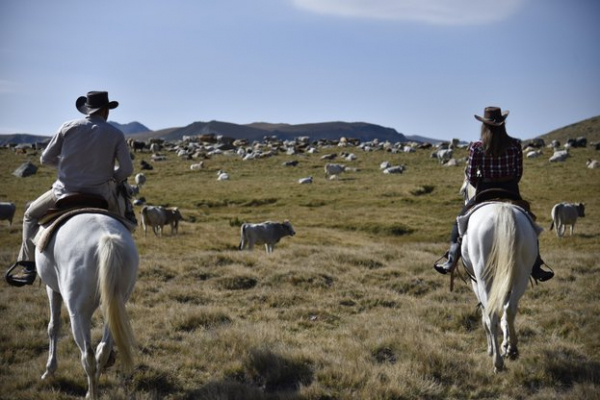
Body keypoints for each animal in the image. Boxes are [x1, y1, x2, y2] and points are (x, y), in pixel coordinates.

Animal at [37, 211, 139, 398]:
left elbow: (53, 326)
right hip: (114, 306)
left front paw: (49, 370)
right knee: (103, 349)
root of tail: (106, 238)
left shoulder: (52, 288)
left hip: (79, 314)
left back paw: (91, 394)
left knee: (88, 355)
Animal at [460, 177, 540, 374]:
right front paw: (506, 345)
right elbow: (504, 310)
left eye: (464, 191)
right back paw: (512, 349)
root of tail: (504, 212)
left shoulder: (475, 283)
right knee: (510, 309)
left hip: (484, 278)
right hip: (521, 275)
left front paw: (492, 348)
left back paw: (497, 361)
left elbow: (485, 315)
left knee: (491, 315)